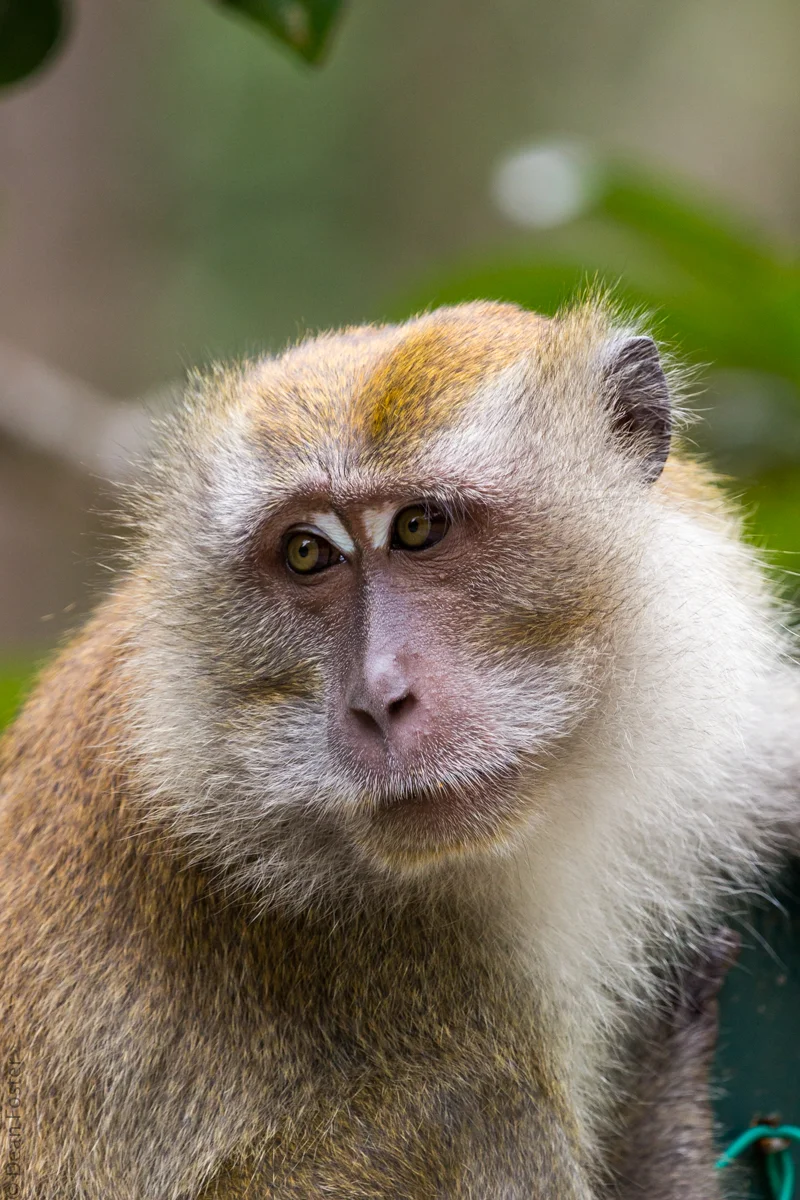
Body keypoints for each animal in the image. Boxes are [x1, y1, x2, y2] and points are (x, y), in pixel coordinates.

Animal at [0, 298, 797, 1199]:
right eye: (308, 552)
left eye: (420, 527)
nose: (378, 697)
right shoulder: (419, 977)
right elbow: (482, 1105)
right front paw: (664, 1104)